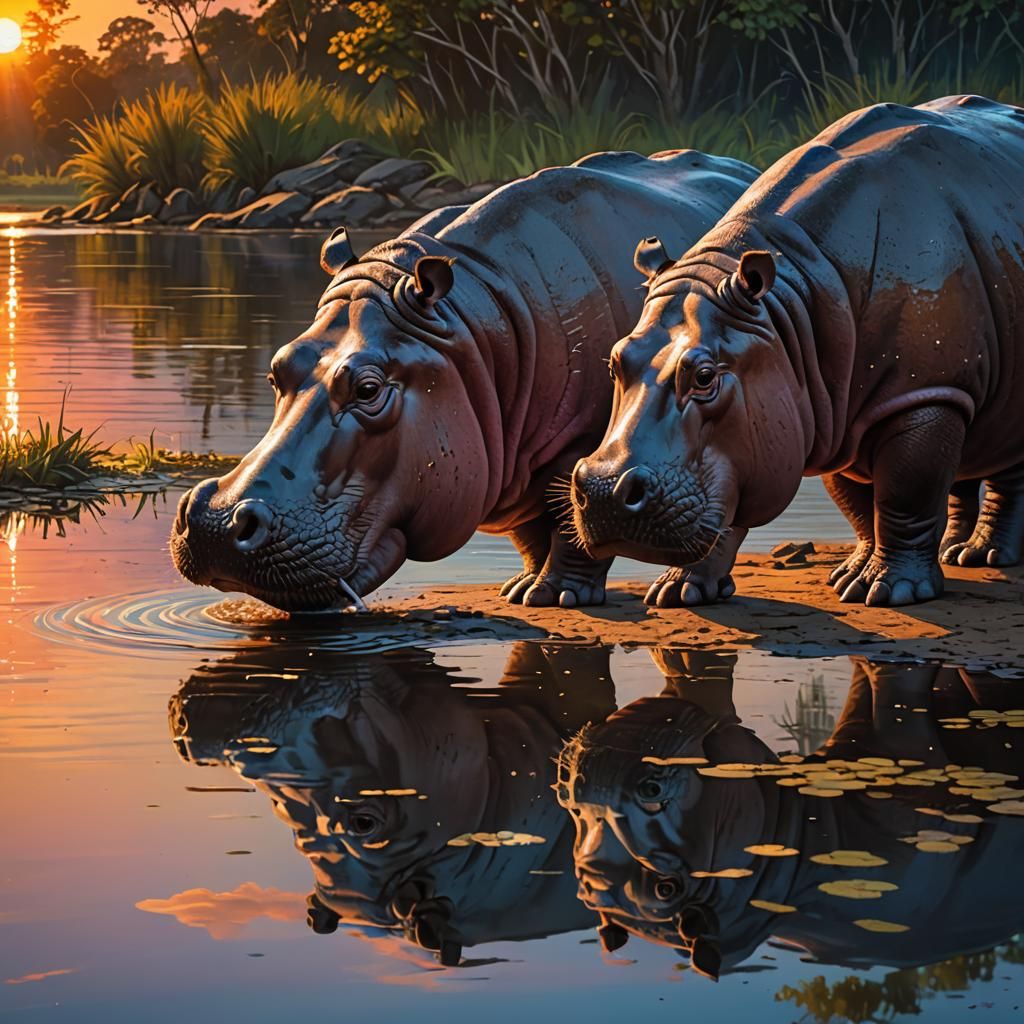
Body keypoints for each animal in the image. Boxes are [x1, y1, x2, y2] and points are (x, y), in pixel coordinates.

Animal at [169, 151, 758, 611]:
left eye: (367, 389)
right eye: (278, 367)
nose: (215, 523)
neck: (473, 328)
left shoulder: (584, 441)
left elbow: (571, 517)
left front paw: (560, 596)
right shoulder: (509, 456)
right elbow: (531, 529)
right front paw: (523, 589)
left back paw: (683, 591)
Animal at [572, 96, 1024, 607]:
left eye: (705, 376)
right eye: (614, 362)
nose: (604, 490)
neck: (788, 306)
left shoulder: (925, 393)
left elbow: (905, 492)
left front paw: (887, 591)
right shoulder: (832, 404)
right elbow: (854, 503)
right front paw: (681, 593)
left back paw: (983, 557)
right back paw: (960, 554)